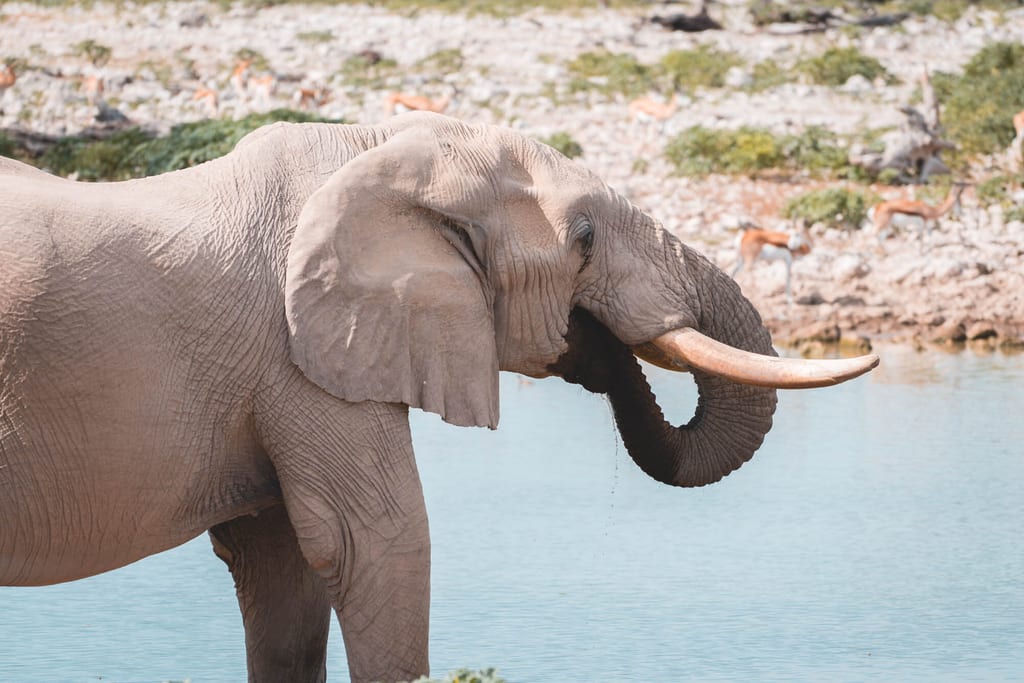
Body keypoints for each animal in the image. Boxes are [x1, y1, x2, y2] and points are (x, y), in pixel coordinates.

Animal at [0, 112, 877, 682]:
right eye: (585, 238)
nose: (592, 344)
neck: (380, 150)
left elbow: (281, 561)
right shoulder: (304, 354)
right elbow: (375, 542)